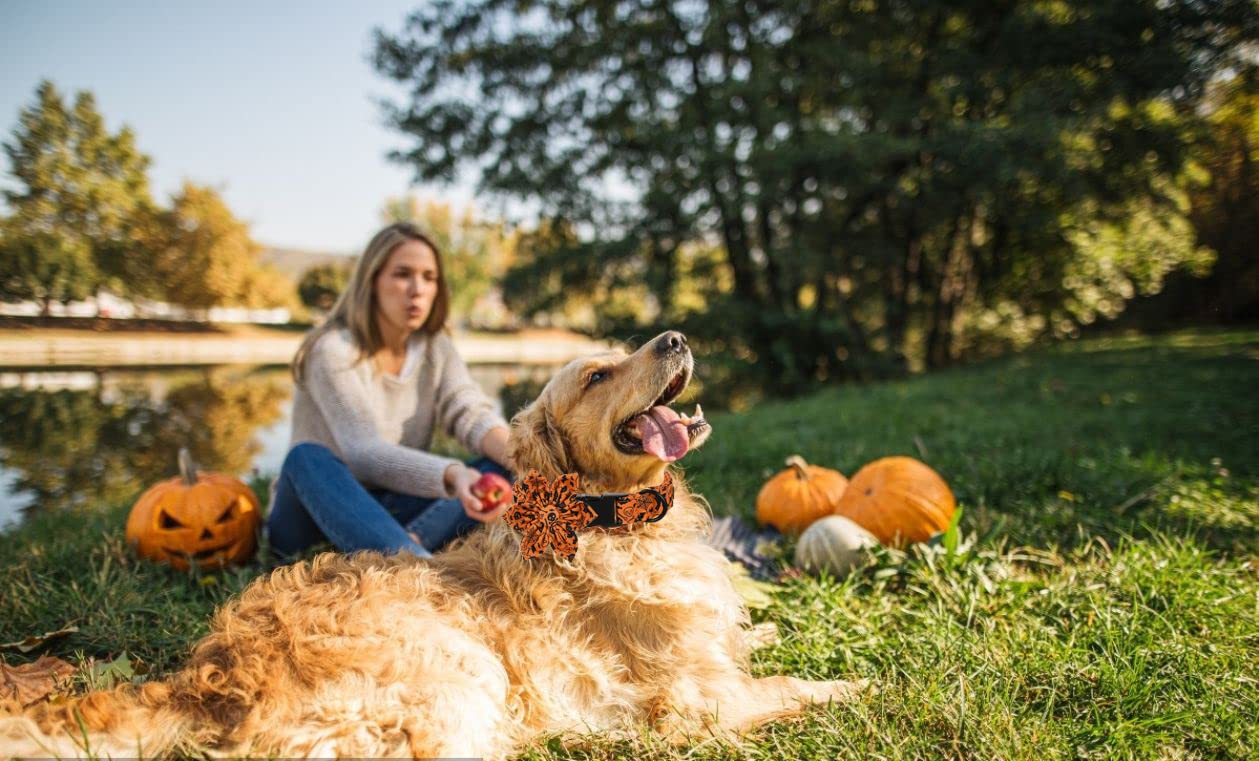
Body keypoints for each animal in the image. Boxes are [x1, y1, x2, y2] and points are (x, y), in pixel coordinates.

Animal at [0, 330, 861, 755]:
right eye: (595, 375)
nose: (675, 335)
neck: (613, 516)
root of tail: (207, 677)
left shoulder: (710, 648)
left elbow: (743, 638)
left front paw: (769, 626)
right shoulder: (693, 700)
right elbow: (783, 687)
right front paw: (848, 685)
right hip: (456, 681)